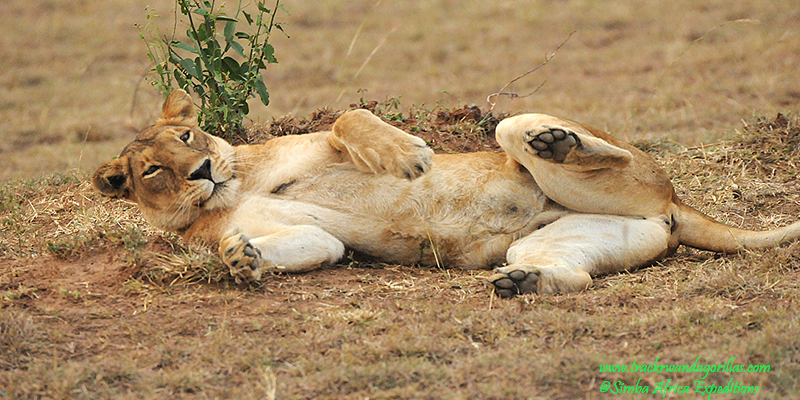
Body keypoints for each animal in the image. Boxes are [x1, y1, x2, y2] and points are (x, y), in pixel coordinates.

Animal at [90, 90, 800, 296]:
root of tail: (671, 208)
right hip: (583, 237)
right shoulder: (314, 238)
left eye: (187, 134)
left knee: (553, 138)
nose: (203, 169)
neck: (232, 190)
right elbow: (299, 245)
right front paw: (244, 260)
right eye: (152, 170)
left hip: (602, 165)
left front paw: (410, 157)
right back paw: (525, 284)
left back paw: (554, 142)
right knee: (572, 275)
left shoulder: (322, 138)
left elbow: (350, 120)